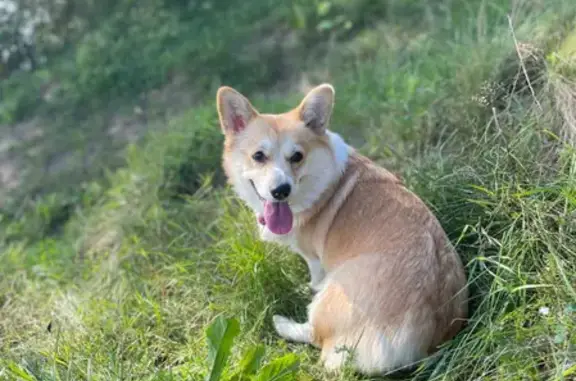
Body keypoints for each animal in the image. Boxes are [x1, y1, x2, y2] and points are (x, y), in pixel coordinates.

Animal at [216, 84, 468, 374]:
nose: (281, 190)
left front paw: (307, 287)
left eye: (297, 156)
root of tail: (421, 344)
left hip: (329, 298)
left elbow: (313, 278)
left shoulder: (313, 258)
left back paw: (282, 322)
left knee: (315, 334)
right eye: (258, 156)